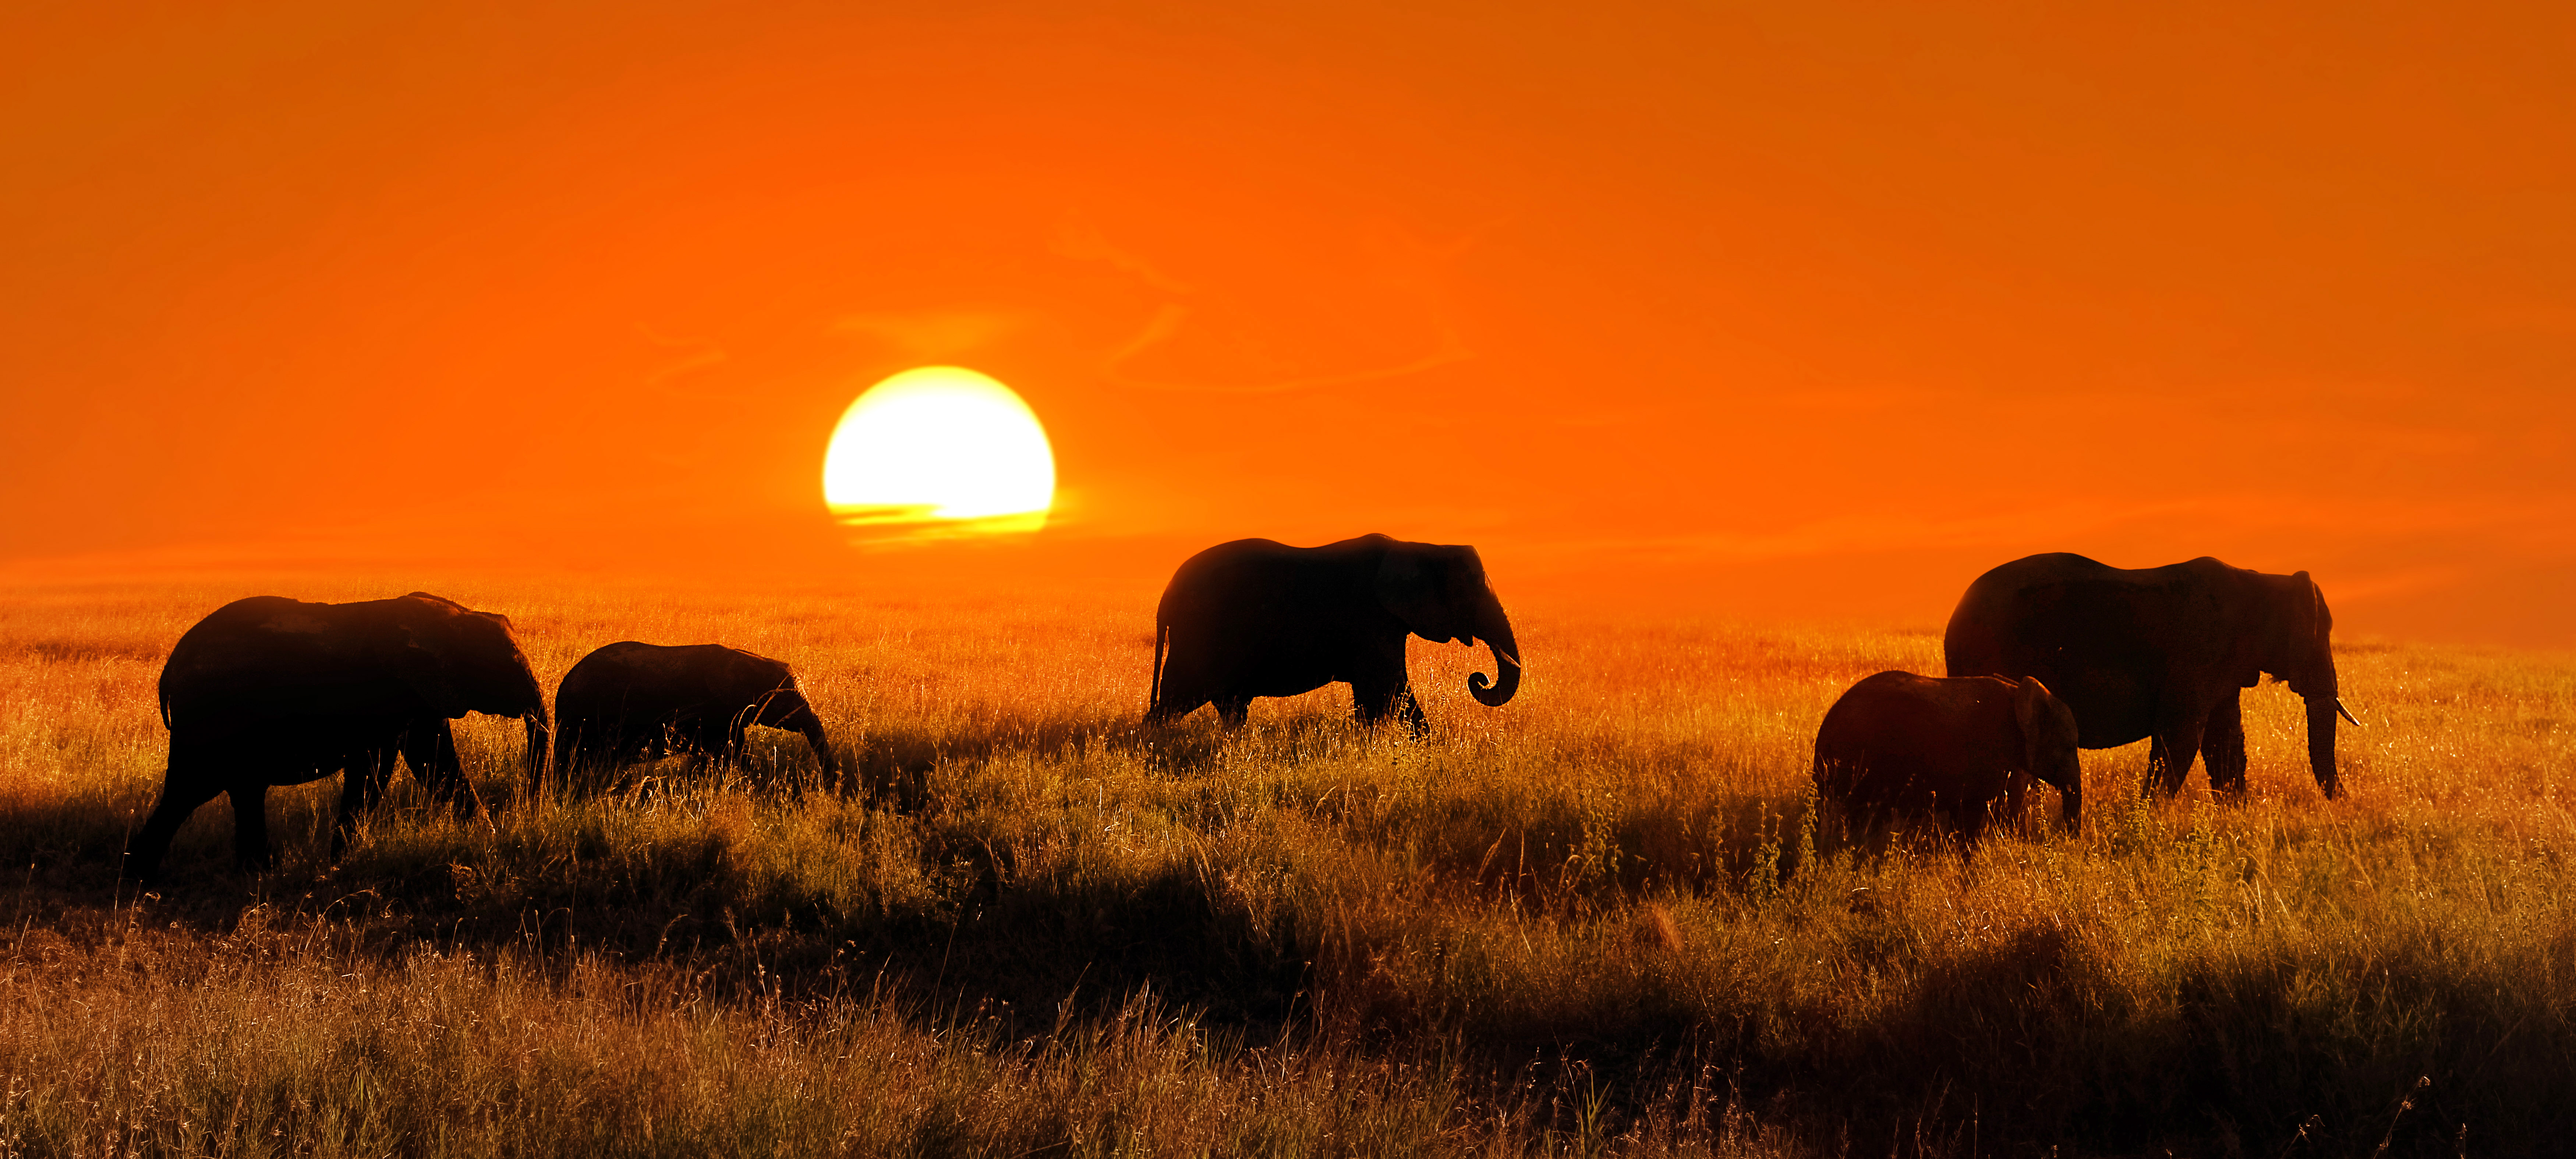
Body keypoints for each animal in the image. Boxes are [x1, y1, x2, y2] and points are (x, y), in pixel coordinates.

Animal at [128, 592, 549, 882]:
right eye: (510, 667)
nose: (527, 812)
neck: (453, 617)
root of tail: (169, 669)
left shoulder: (422, 698)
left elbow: (437, 763)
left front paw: (487, 840)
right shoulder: (386, 698)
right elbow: (375, 772)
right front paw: (338, 867)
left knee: (237, 791)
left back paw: (251, 875)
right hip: (210, 717)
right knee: (190, 791)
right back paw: (145, 881)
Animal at [549, 642, 840, 787]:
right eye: (788, 701)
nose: (830, 784)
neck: (748, 660)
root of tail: (562, 688)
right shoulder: (712, 712)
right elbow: (724, 753)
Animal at [1146, 533, 1521, 732]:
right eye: (1471, 591)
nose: (1479, 679)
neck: (1417, 547)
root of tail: (1165, 597)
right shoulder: (1372, 621)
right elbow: (1389, 690)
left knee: (1229, 704)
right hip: (1198, 635)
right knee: (1177, 698)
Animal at [1943, 553, 2360, 798]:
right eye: (2318, 637)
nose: (2345, 803)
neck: (2260, 579)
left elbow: (2224, 741)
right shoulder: (2197, 654)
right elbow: (2180, 736)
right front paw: (2150, 815)